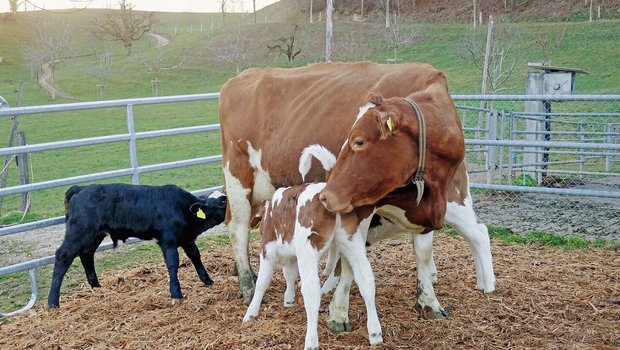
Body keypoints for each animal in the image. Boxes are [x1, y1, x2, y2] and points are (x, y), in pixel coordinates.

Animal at [47, 185, 228, 308]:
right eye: (221, 204)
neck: (181, 208)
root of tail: (81, 188)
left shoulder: (186, 238)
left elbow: (195, 255)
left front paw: (207, 280)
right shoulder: (168, 240)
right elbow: (173, 263)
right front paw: (176, 293)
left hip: (94, 234)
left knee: (86, 254)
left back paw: (97, 287)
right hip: (79, 232)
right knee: (63, 256)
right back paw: (53, 302)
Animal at [218, 63, 494, 328]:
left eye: (359, 141)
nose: (327, 194)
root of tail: (242, 77)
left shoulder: (425, 209)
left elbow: (423, 255)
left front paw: (429, 303)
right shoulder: (361, 209)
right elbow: (350, 264)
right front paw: (339, 314)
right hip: (238, 176)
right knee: (238, 227)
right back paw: (248, 285)